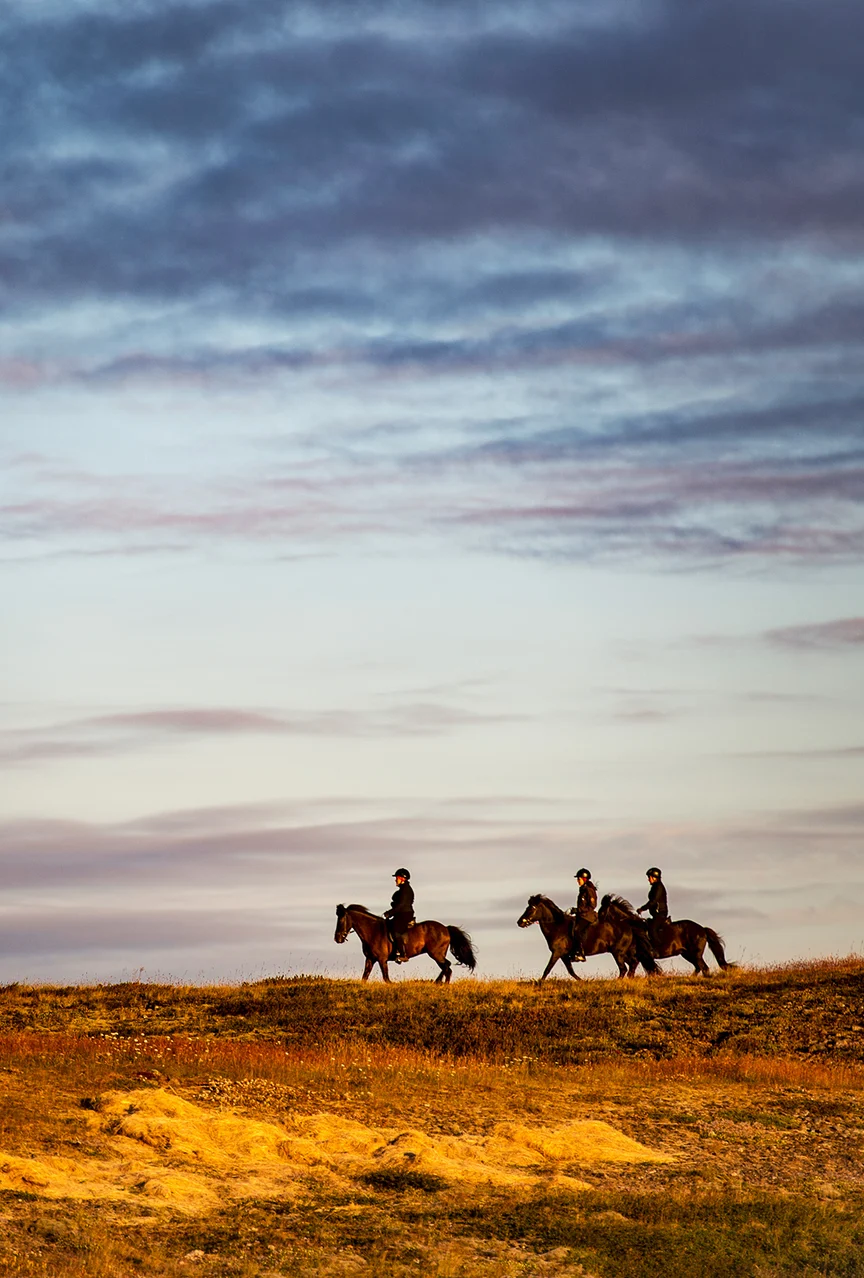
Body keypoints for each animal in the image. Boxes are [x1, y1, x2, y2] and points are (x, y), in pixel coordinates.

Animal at [334, 904, 477, 984]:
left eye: (341, 920)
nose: (337, 939)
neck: (373, 931)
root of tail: (446, 928)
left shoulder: (381, 959)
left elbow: (386, 978)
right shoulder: (370, 959)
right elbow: (364, 977)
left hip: (436, 954)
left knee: (447, 967)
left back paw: (441, 983)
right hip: (437, 954)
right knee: (446, 967)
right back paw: (439, 982)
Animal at [516, 893, 659, 981]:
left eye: (532, 908)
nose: (519, 922)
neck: (557, 926)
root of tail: (628, 925)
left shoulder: (557, 952)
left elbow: (547, 969)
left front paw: (539, 983)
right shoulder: (564, 955)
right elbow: (571, 971)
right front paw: (582, 981)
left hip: (618, 952)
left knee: (624, 968)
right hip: (625, 951)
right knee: (633, 963)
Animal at [600, 894, 733, 977]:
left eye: (602, 911)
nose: (598, 922)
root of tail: (702, 929)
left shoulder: (639, 956)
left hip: (695, 954)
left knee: (704, 968)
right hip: (687, 954)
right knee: (698, 967)